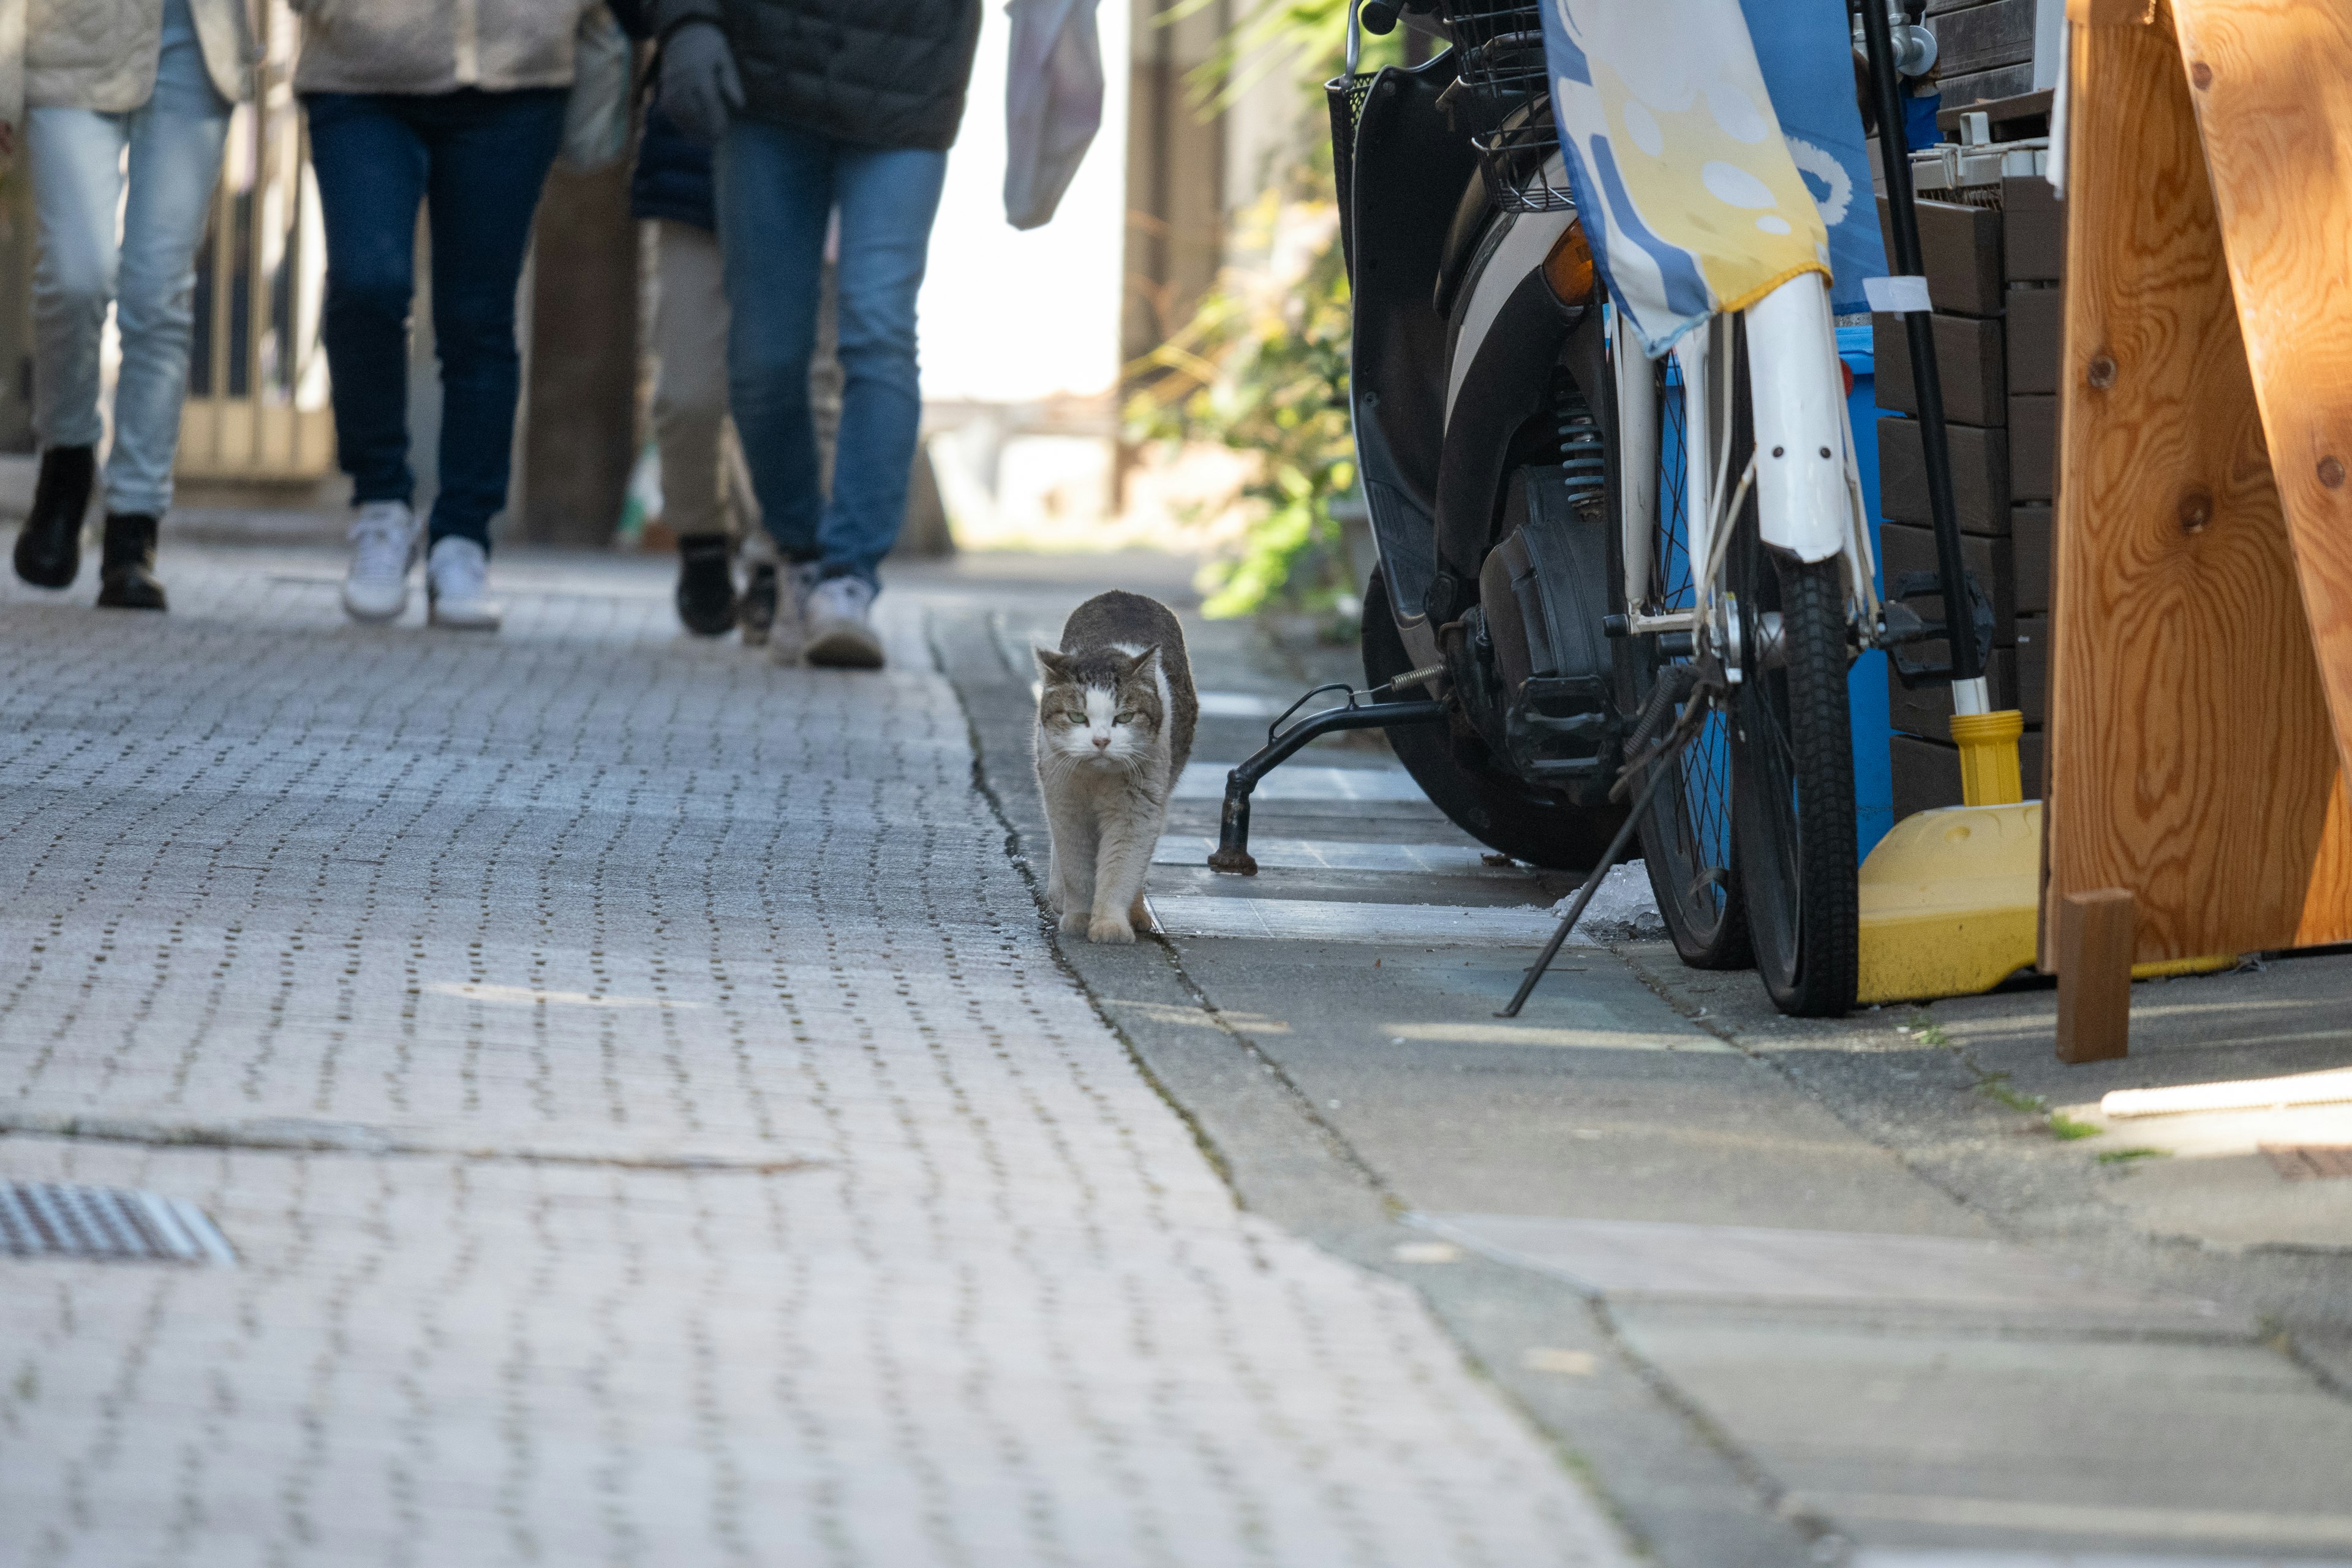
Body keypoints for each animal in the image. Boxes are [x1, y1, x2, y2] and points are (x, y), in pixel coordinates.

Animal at [1039, 592, 1204, 944]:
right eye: (1077, 717)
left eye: (1124, 718)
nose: (1101, 740)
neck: (1098, 778)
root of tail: (1124, 594)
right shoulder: (1065, 803)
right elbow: (1077, 867)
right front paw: (1079, 917)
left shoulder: (1138, 808)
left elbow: (1122, 867)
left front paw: (1110, 926)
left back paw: (1138, 913)